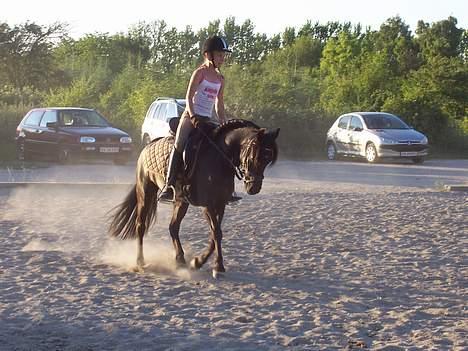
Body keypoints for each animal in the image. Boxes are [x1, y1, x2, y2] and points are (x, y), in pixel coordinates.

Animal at [108, 119, 280, 276]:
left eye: (268, 158)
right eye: (254, 156)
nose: (254, 188)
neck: (218, 159)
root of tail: (149, 145)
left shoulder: (221, 203)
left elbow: (215, 235)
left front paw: (198, 262)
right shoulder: (208, 204)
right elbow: (216, 233)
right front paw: (218, 266)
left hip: (181, 201)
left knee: (173, 227)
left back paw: (180, 260)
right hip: (145, 191)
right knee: (141, 225)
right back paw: (140, 262)